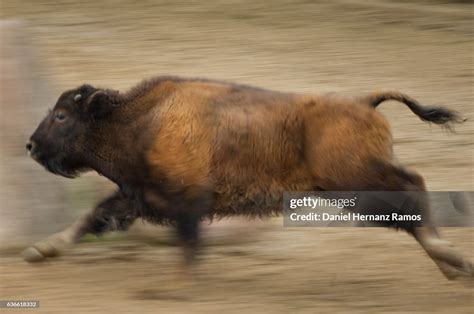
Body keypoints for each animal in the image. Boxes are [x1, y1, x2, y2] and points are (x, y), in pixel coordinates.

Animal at [24, 75, 472, 280]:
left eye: (61, 115)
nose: (30, 145)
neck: (140, 119)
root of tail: (365, 101)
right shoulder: (137, 196)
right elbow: (92, 217)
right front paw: (41, 250)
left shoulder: (184, 203)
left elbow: (188, 242)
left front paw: (180, 284)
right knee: (409, 204)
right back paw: (451, 265)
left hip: (358, 182)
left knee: (413, 189)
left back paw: (452, 260)